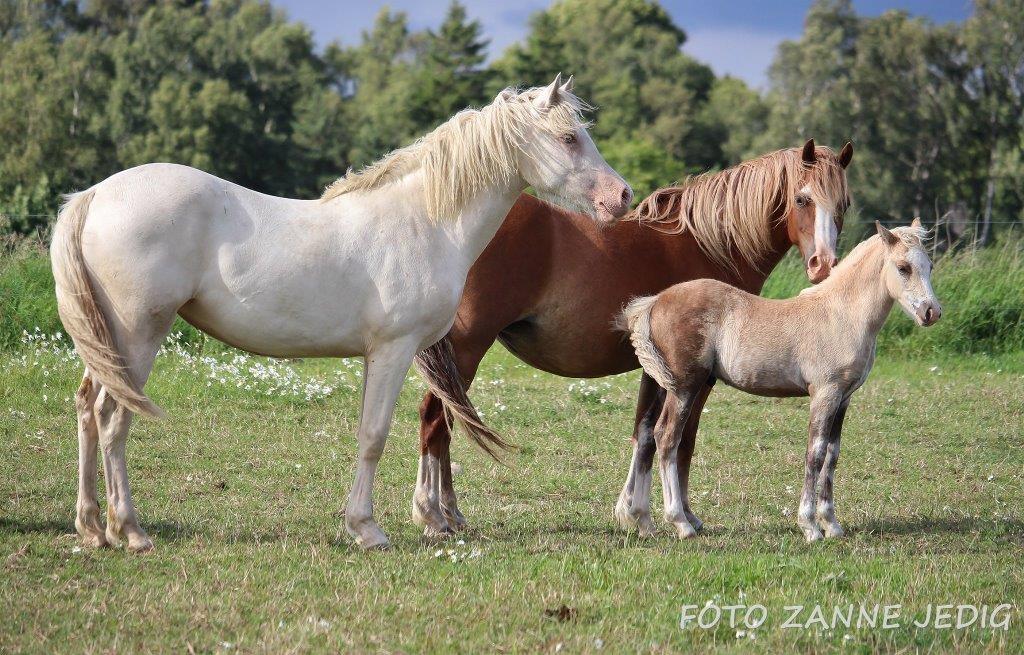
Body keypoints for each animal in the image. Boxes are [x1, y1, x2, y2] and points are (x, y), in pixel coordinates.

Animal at [411, 141, 851, 536]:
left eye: (843, 204)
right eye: (802, 198)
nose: (823, 265)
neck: (706, 245)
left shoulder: (657, 373)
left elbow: (644, 433)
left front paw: (635, 514)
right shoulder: (696, 378)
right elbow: (680, 440)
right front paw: (680, 517)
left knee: (443, 420)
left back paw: (449, 514)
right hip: (465, 351)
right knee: (437, 421)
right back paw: (434, 516)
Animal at [618, 223, 937, 540]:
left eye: (929, 266)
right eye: (903, 267)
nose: (931, 312)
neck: (841, 315)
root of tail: (655, 301)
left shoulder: (844, 397)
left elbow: (832, 455)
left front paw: (832, 525)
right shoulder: (825, 393)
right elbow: (815, 454)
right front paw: (810, 526)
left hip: (665, 384)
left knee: (647, 434)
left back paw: (644, 520)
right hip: (685, 387)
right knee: (667, 437)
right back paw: (680, 523)